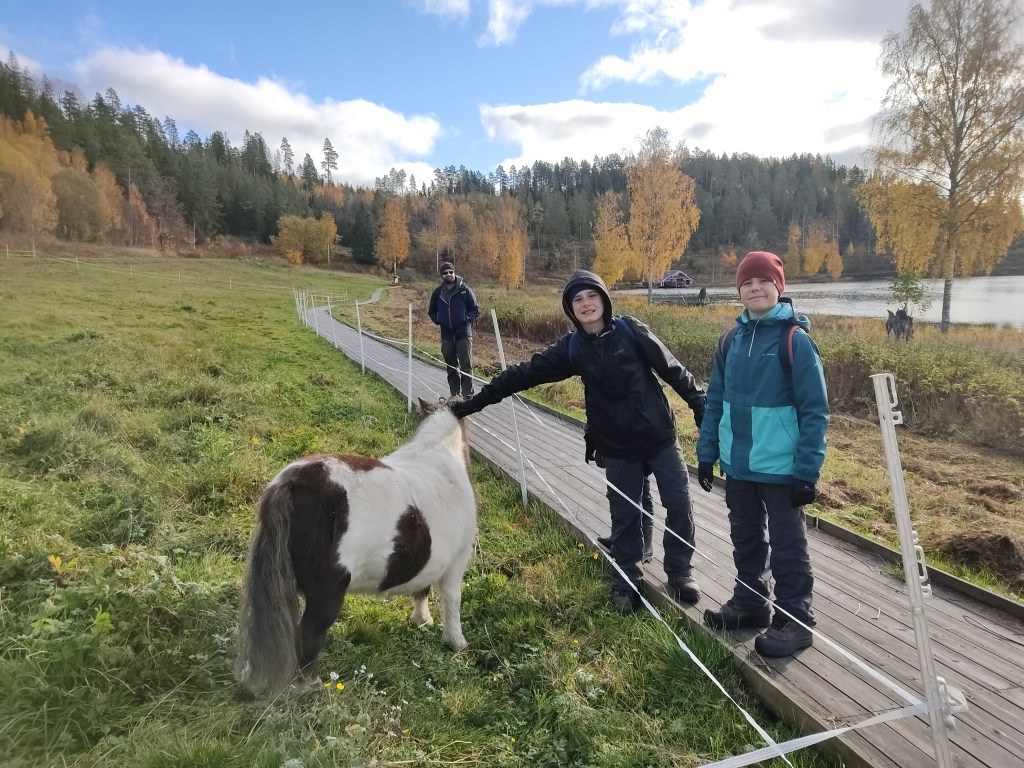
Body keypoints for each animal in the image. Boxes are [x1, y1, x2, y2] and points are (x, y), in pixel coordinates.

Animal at [235, 398, 476, 698]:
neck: (440, 457)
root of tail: (291, 483)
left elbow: (422, 589)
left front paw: (421, 619)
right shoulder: (456, 562)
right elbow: (452, 601)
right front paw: (457, 642)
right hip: (328, 592)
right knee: (310, 633)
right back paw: (309, 685)